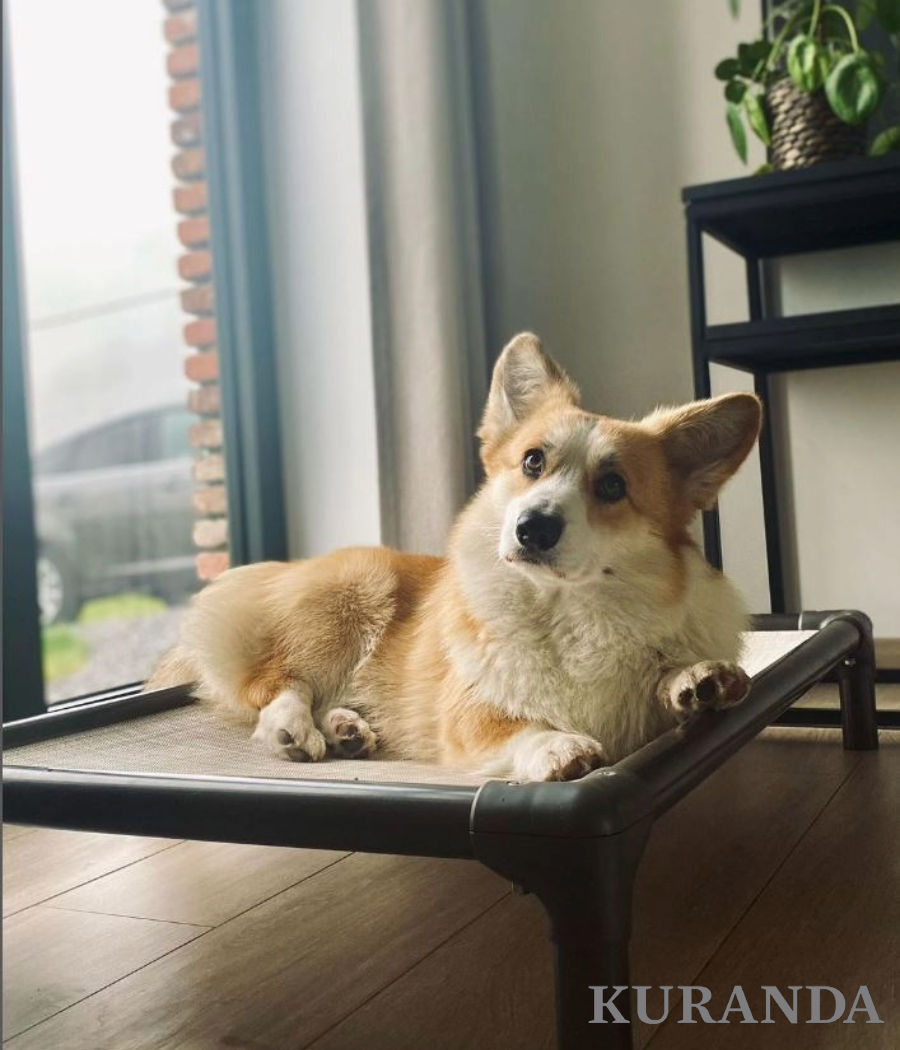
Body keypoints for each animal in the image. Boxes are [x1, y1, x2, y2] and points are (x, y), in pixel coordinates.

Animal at [147, 331, 760, 785]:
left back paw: (348, 728)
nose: (532, 527)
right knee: (276, 684)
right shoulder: (468, 716)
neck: (568, 609)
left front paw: (697, 679)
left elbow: (663, 672)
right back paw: (294, 729)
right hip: (352, 593)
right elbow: (518, 727)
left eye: (612, 486)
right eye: (532, 461)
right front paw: (558, 746)